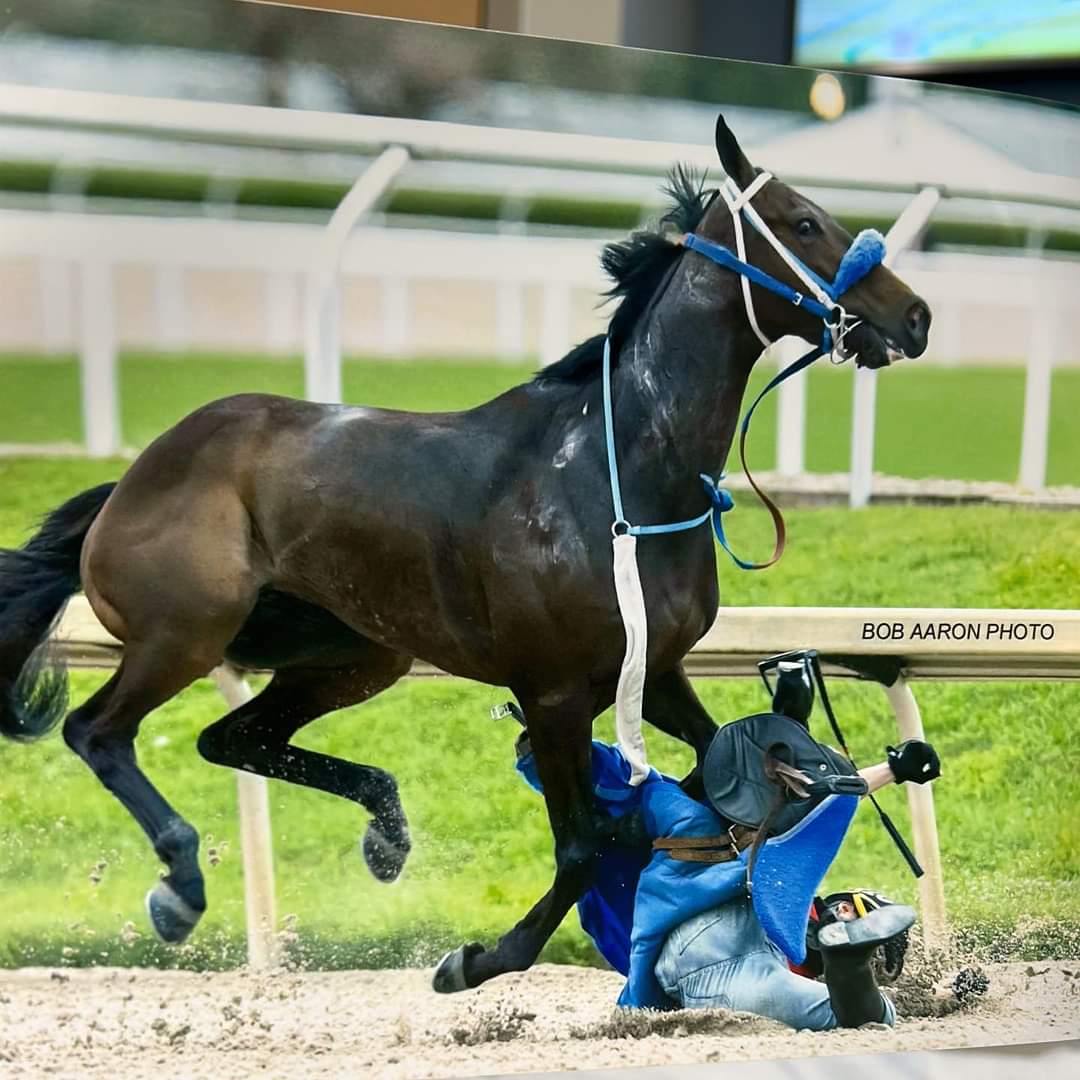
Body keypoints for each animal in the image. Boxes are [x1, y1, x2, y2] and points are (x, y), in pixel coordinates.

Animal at [0, 116, 930, 992]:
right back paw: (181, 882)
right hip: (185, 630)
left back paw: (383, 831)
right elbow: (583, 846)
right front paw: (479, 958)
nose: (915, 316)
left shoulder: (655, 669)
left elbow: (713, 771)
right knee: (98, 731)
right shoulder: (553, 691)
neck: (622, 475)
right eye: (806, 221)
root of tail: (128, 482)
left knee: (234, 737)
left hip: (355, 651)